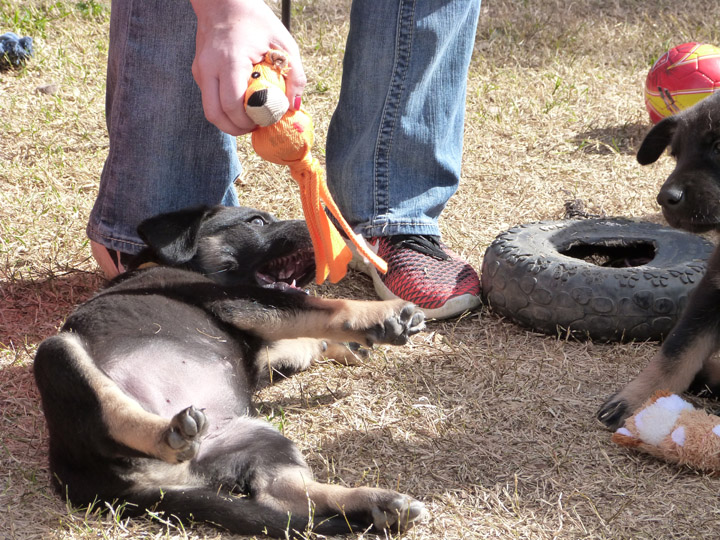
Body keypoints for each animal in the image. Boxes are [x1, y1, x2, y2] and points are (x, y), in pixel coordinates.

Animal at [33, 206, 428, 536]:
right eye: (256, 221)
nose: (337, 230)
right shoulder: (240, 302)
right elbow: (322, 309)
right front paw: (385, 315)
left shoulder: (257, 348)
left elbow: (300, 341)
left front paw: (349, 347)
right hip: (56, 354)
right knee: (114, 413)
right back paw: (167, 433)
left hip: (260, 439)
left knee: (282, 494)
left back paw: (378, 505)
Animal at [600, 90, 720, 428]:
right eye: (675, 155)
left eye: (719, 146)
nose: (665, 199)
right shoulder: (710, 292)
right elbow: (677, 351)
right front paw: (639, 401)